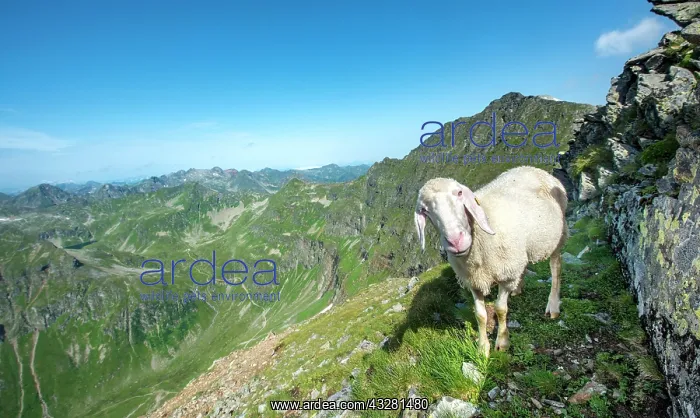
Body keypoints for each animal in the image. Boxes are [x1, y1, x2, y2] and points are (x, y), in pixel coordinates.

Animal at [414, 165, 568, 357]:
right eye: (424, 209)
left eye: (459, 193)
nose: (456, 241)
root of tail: (532, 168)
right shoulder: (473, 280)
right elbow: (480, 315)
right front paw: (482, 348)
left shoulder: (506, 274)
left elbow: (501, 309)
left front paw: (502, 342)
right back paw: (518, 288)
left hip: (557, 236)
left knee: (556, 267)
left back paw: (553, 306)